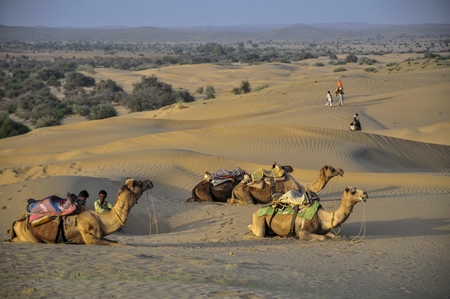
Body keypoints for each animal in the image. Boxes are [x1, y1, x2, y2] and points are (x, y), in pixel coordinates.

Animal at [7, 178, 154, 246]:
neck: (101, 220)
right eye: (138, 183)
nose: (150, 182)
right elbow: (120, 244)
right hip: (26, 233)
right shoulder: (91, 239)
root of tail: (15, 221)